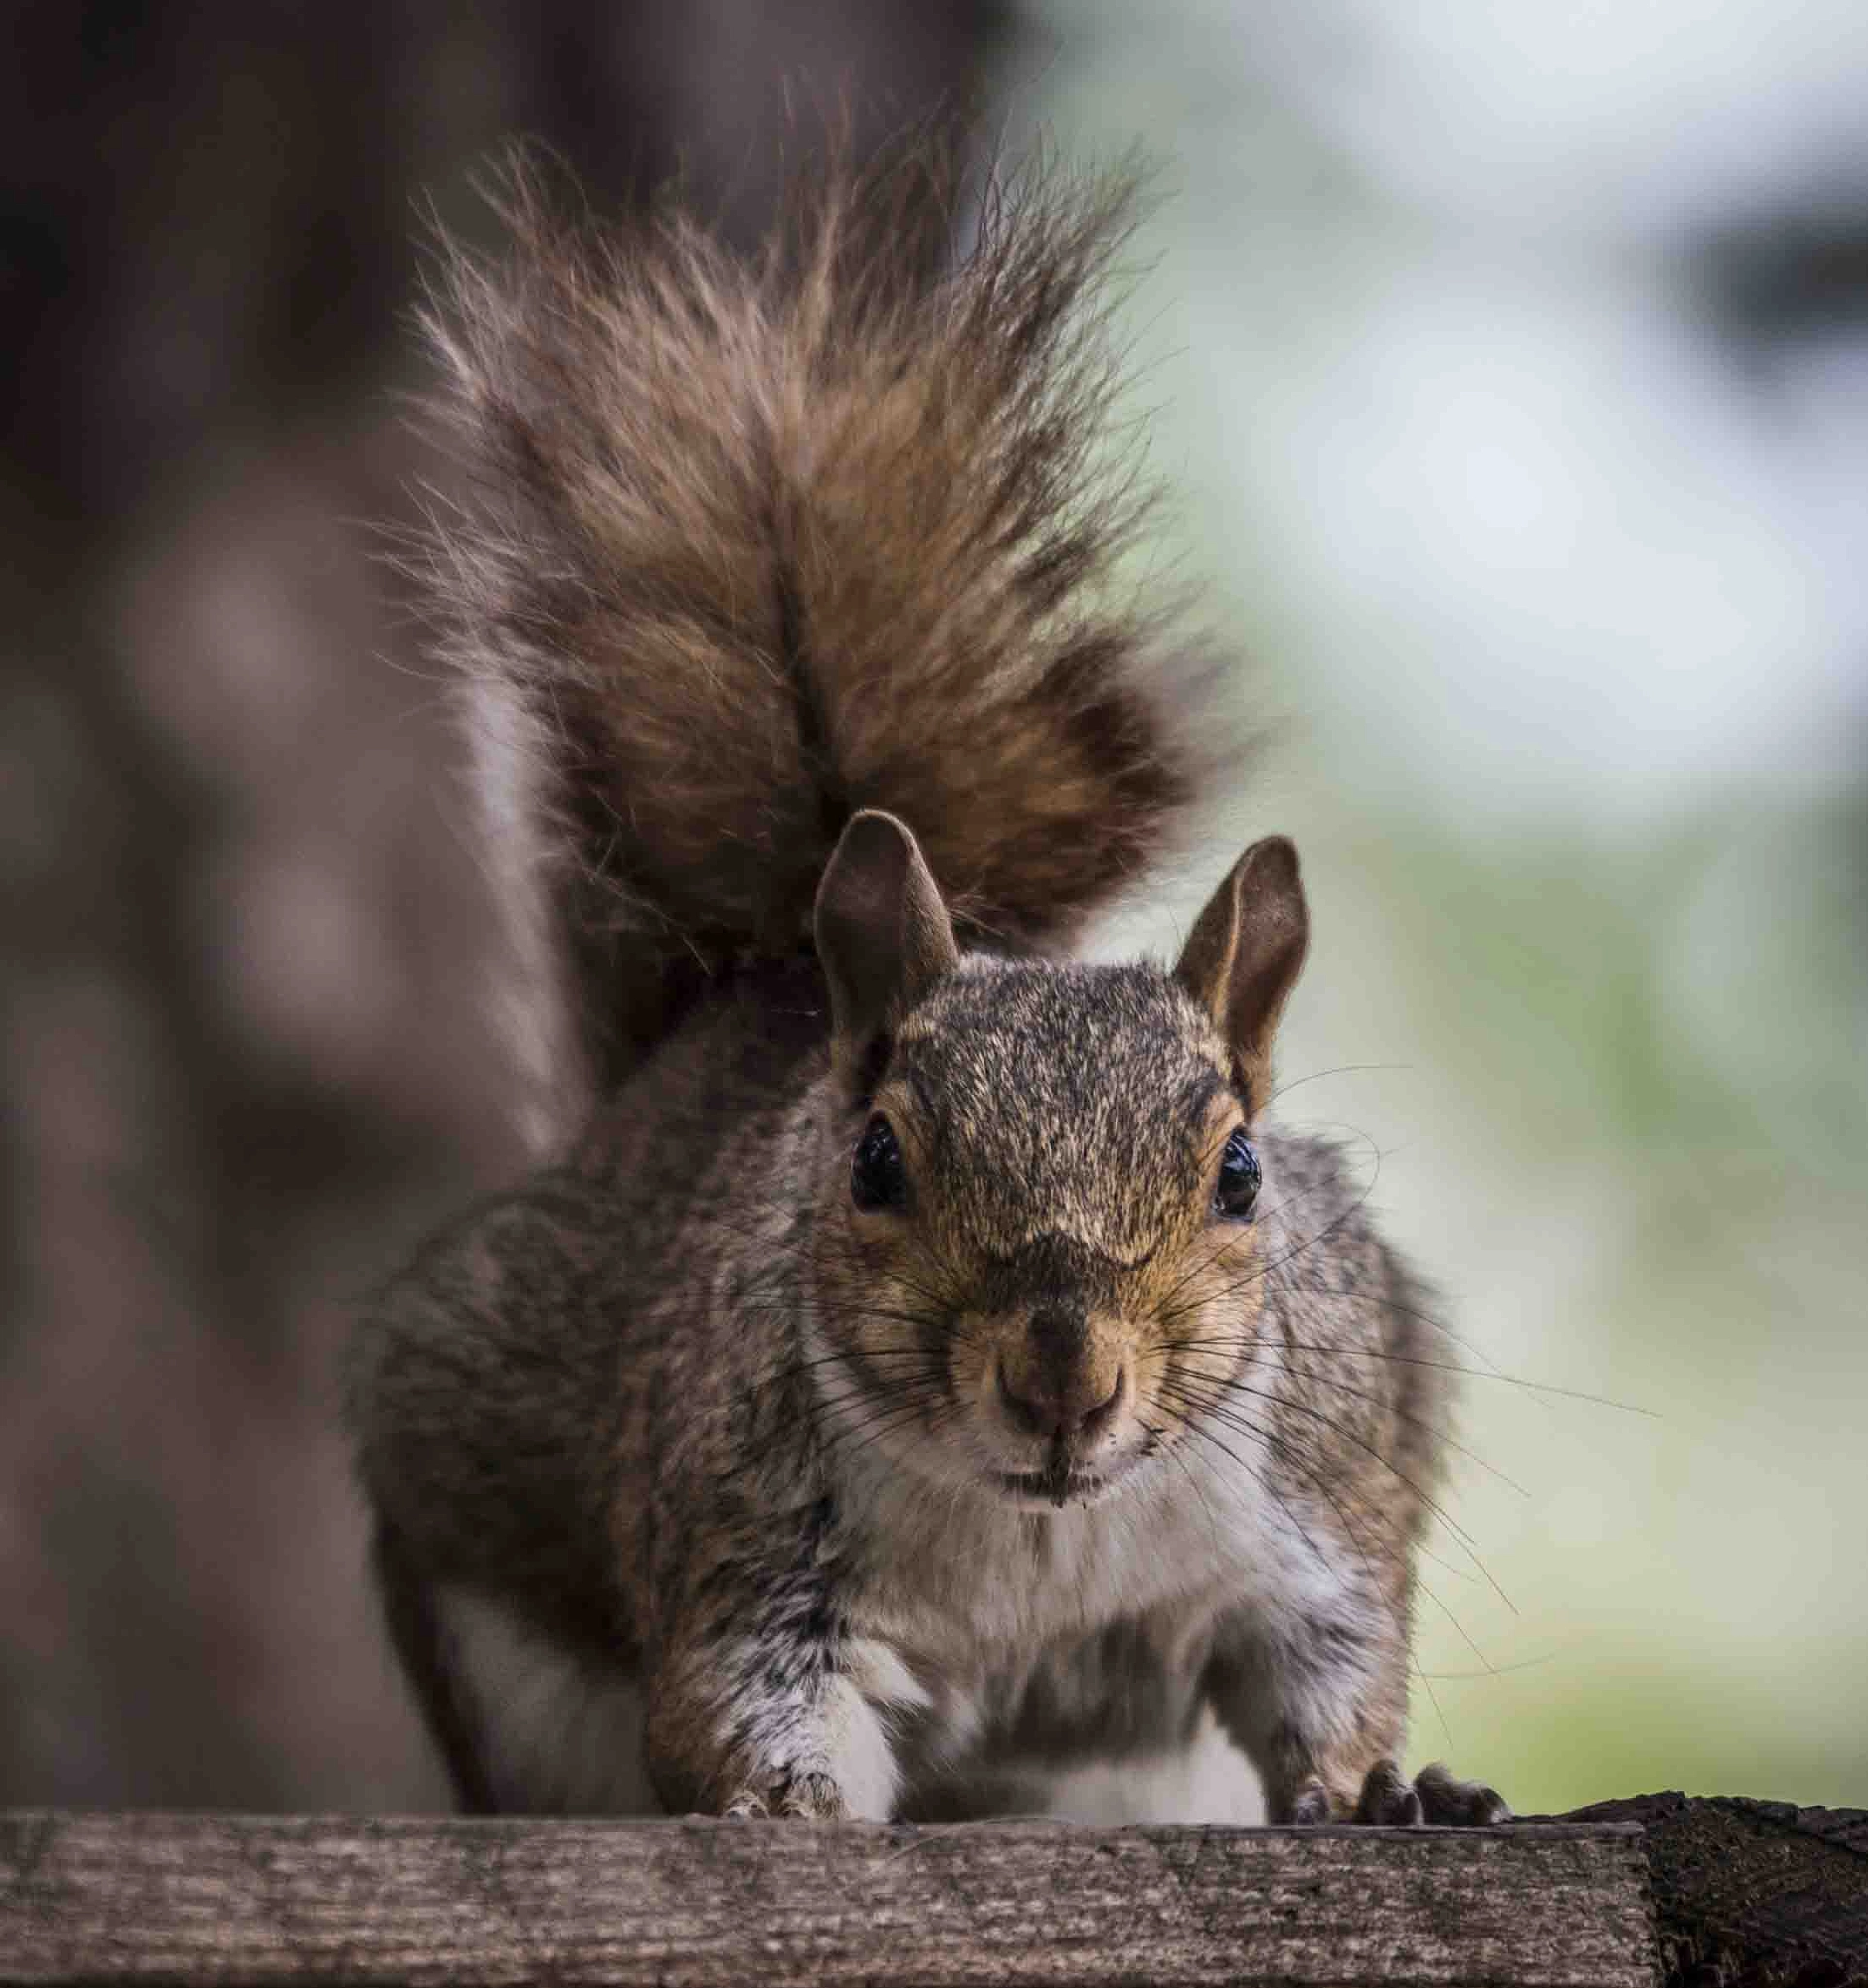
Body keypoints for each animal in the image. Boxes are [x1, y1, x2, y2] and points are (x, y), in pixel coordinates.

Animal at [346, 137, 1508, 1829]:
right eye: (876, 1164)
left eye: (1240, 1175)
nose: (1063, 1374)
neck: (1040, 1522)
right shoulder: (745, 1540)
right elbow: (742, 1703)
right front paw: (783, 1811)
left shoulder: (1317, 1509)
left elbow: (1327, 1667)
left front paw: (1386, 1793)